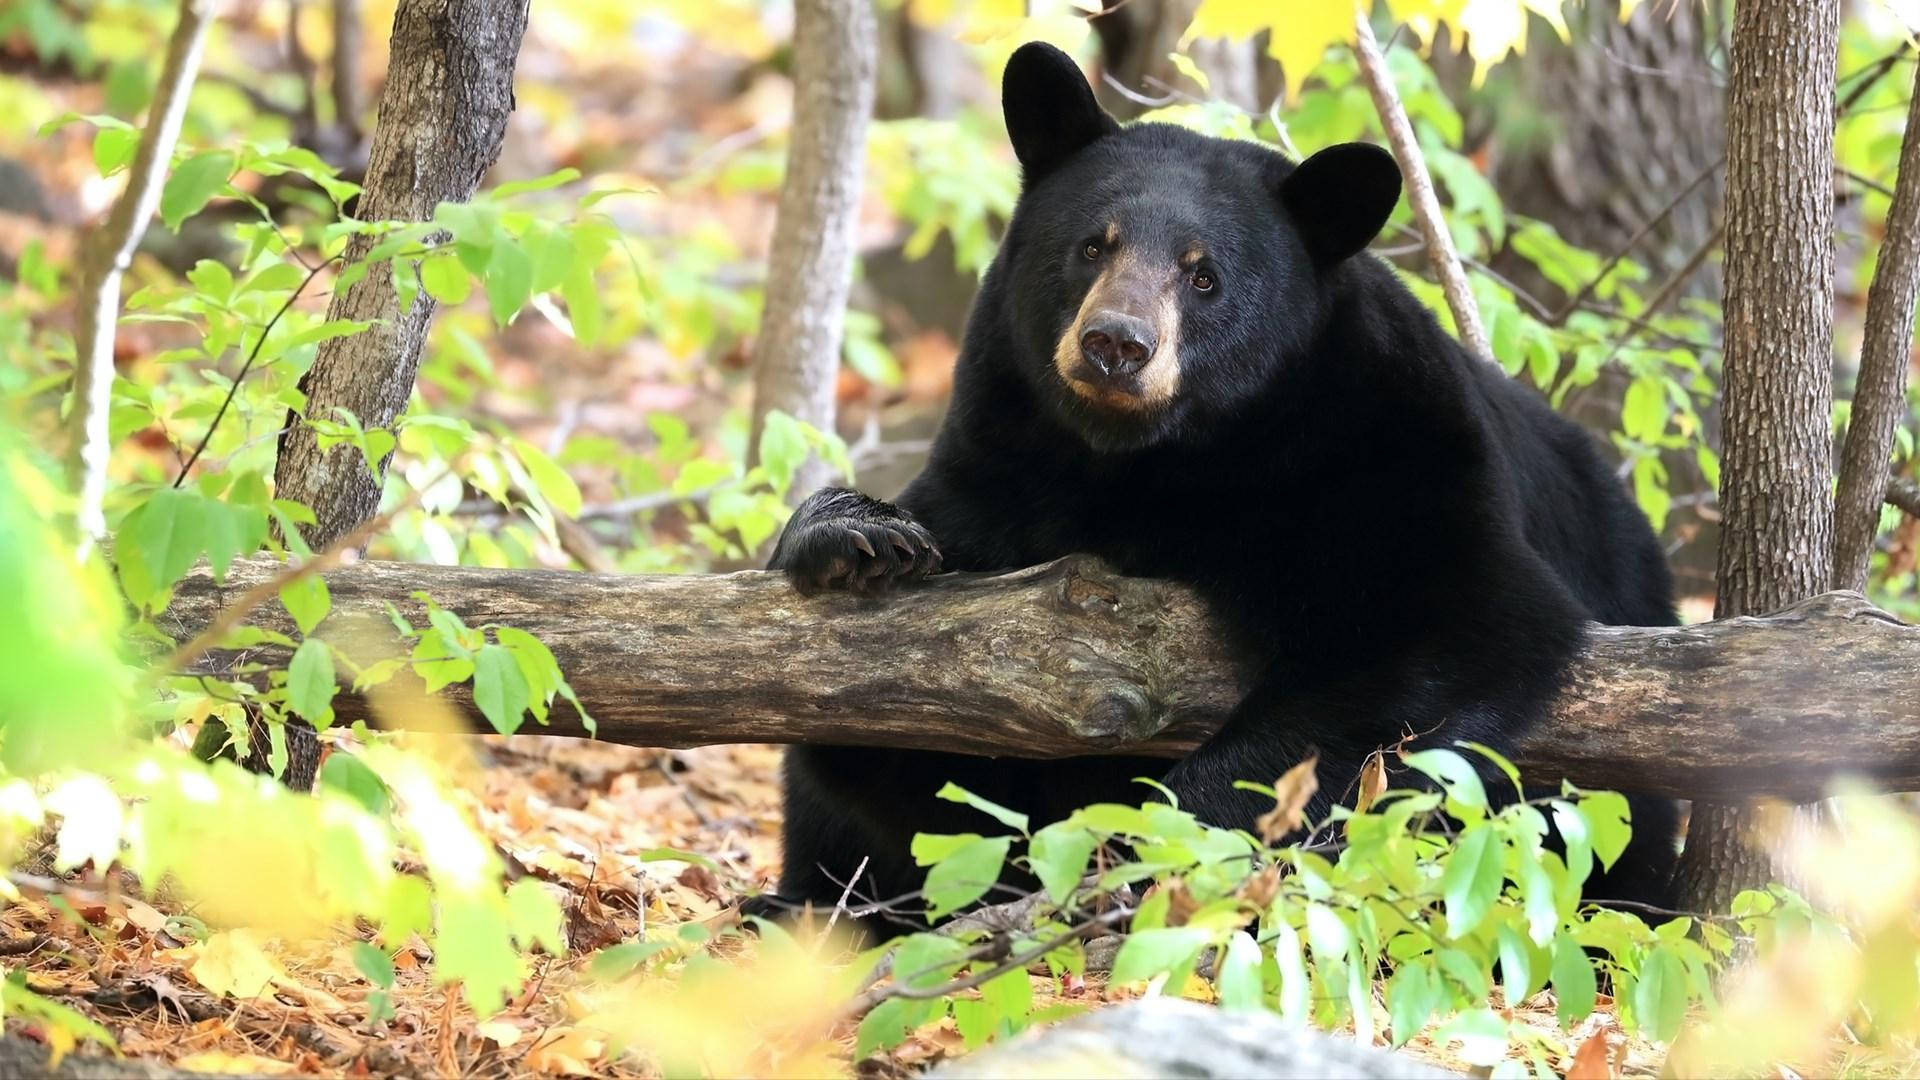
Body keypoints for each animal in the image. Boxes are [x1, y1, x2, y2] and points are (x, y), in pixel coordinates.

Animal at [741, 42, 1674, 930]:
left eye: (1203, 275)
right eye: (1093, 244)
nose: (1117, 343)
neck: (1149, 462)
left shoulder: (1389, 452)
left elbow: (1448, 620)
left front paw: (1150, 846)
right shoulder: (1000, 471)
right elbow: (913, 753)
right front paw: (858, 537)